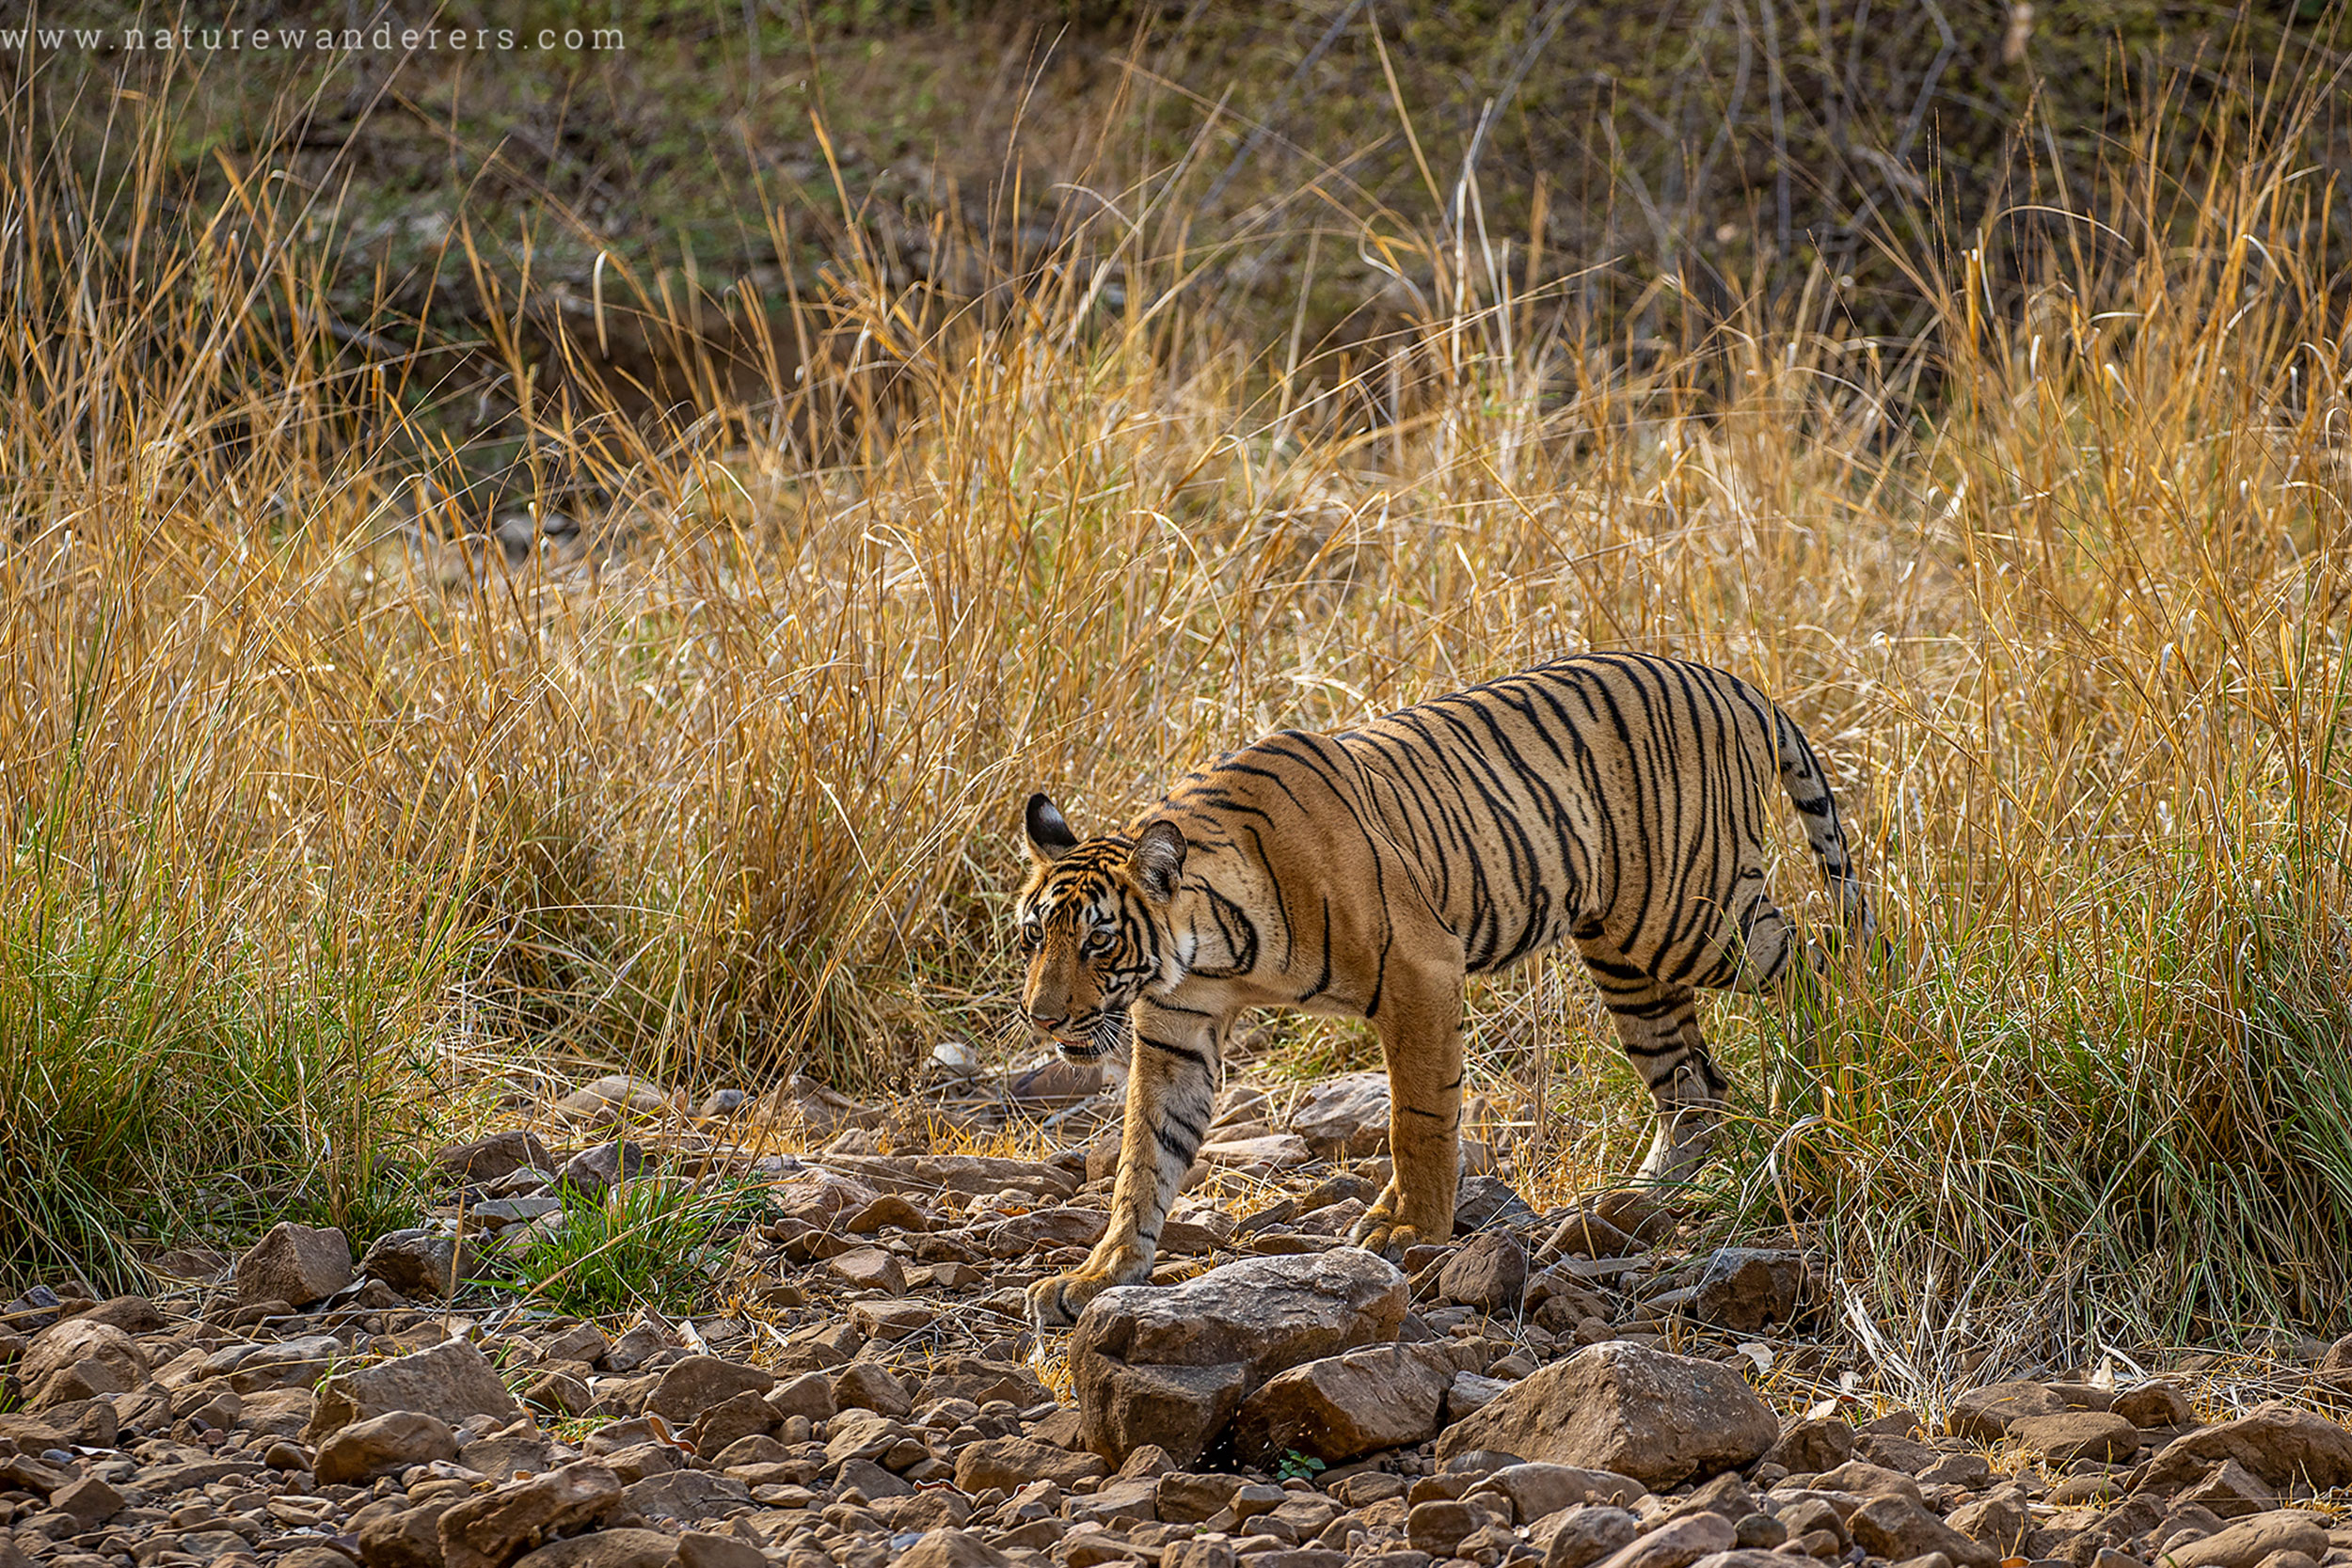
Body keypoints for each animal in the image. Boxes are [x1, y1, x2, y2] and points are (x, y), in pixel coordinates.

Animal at [1011, 657, 1872, 1335]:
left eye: (1098, 941)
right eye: (1031, 937)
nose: (1041, 1017)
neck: (1215, 948)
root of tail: (1733, 680)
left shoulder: (1421, 969)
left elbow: (1419, 1118)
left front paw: (1411, 1232)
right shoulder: (1173, 1034)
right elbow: (1144, 1157)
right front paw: (1098, 1276)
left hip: (1695, 918)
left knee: (1833, 960)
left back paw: (1848, 1058)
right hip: (1622, 950)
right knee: (1693, 1082)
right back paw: (1635, 1196)